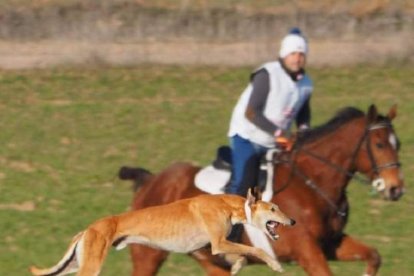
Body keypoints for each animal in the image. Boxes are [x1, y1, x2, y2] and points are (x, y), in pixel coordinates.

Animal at [120, 104, 404, 274]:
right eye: (379, 144)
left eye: (398, 143)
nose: (396, 189)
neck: (311, 182)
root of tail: (151, 181)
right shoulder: (308, 252)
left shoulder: (331, 244)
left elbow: (373, 256)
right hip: (148, 255)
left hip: (210, 260)